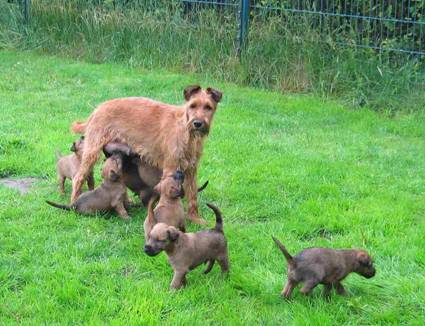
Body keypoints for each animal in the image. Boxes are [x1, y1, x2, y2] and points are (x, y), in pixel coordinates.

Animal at [69, 84, 222, 224]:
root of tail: (97, 109)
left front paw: (195, 218)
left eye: (208, 107)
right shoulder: (171, 167)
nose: (198, 123)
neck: (184, 129)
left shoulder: (191, 168)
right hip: (92, 152)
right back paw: (73, 204)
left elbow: (193, 196)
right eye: (192, 105)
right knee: (78, 178)